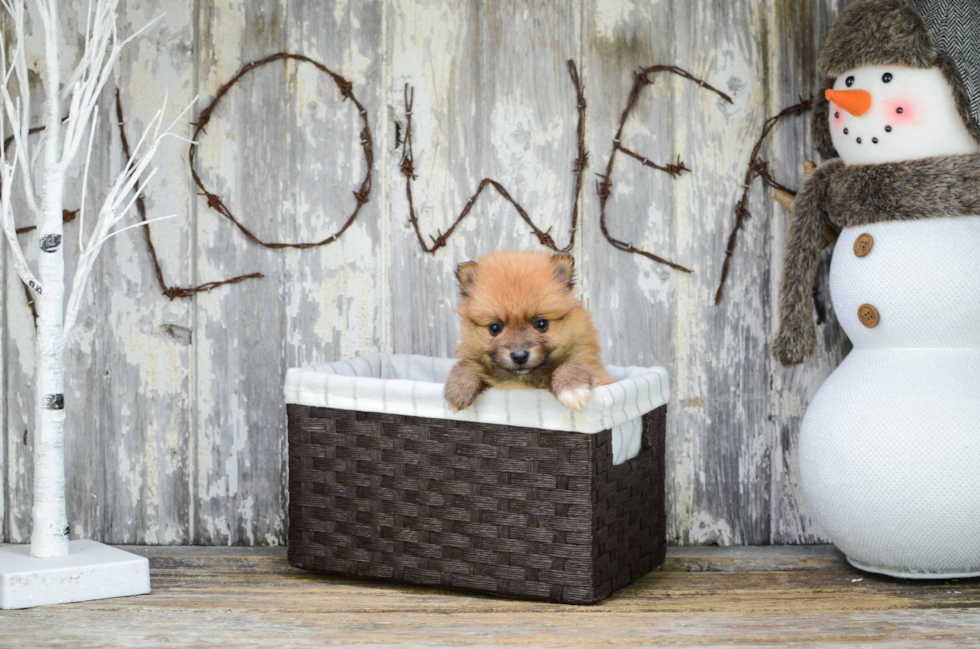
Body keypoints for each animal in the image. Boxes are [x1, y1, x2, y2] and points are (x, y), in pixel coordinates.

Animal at [446, 248, 612, 410]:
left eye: (541, 324)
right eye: (495, 327)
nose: (519, 356)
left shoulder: (590, 363)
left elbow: (574, 364)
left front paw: (572, 389)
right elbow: (465, 365)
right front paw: (459, 388)